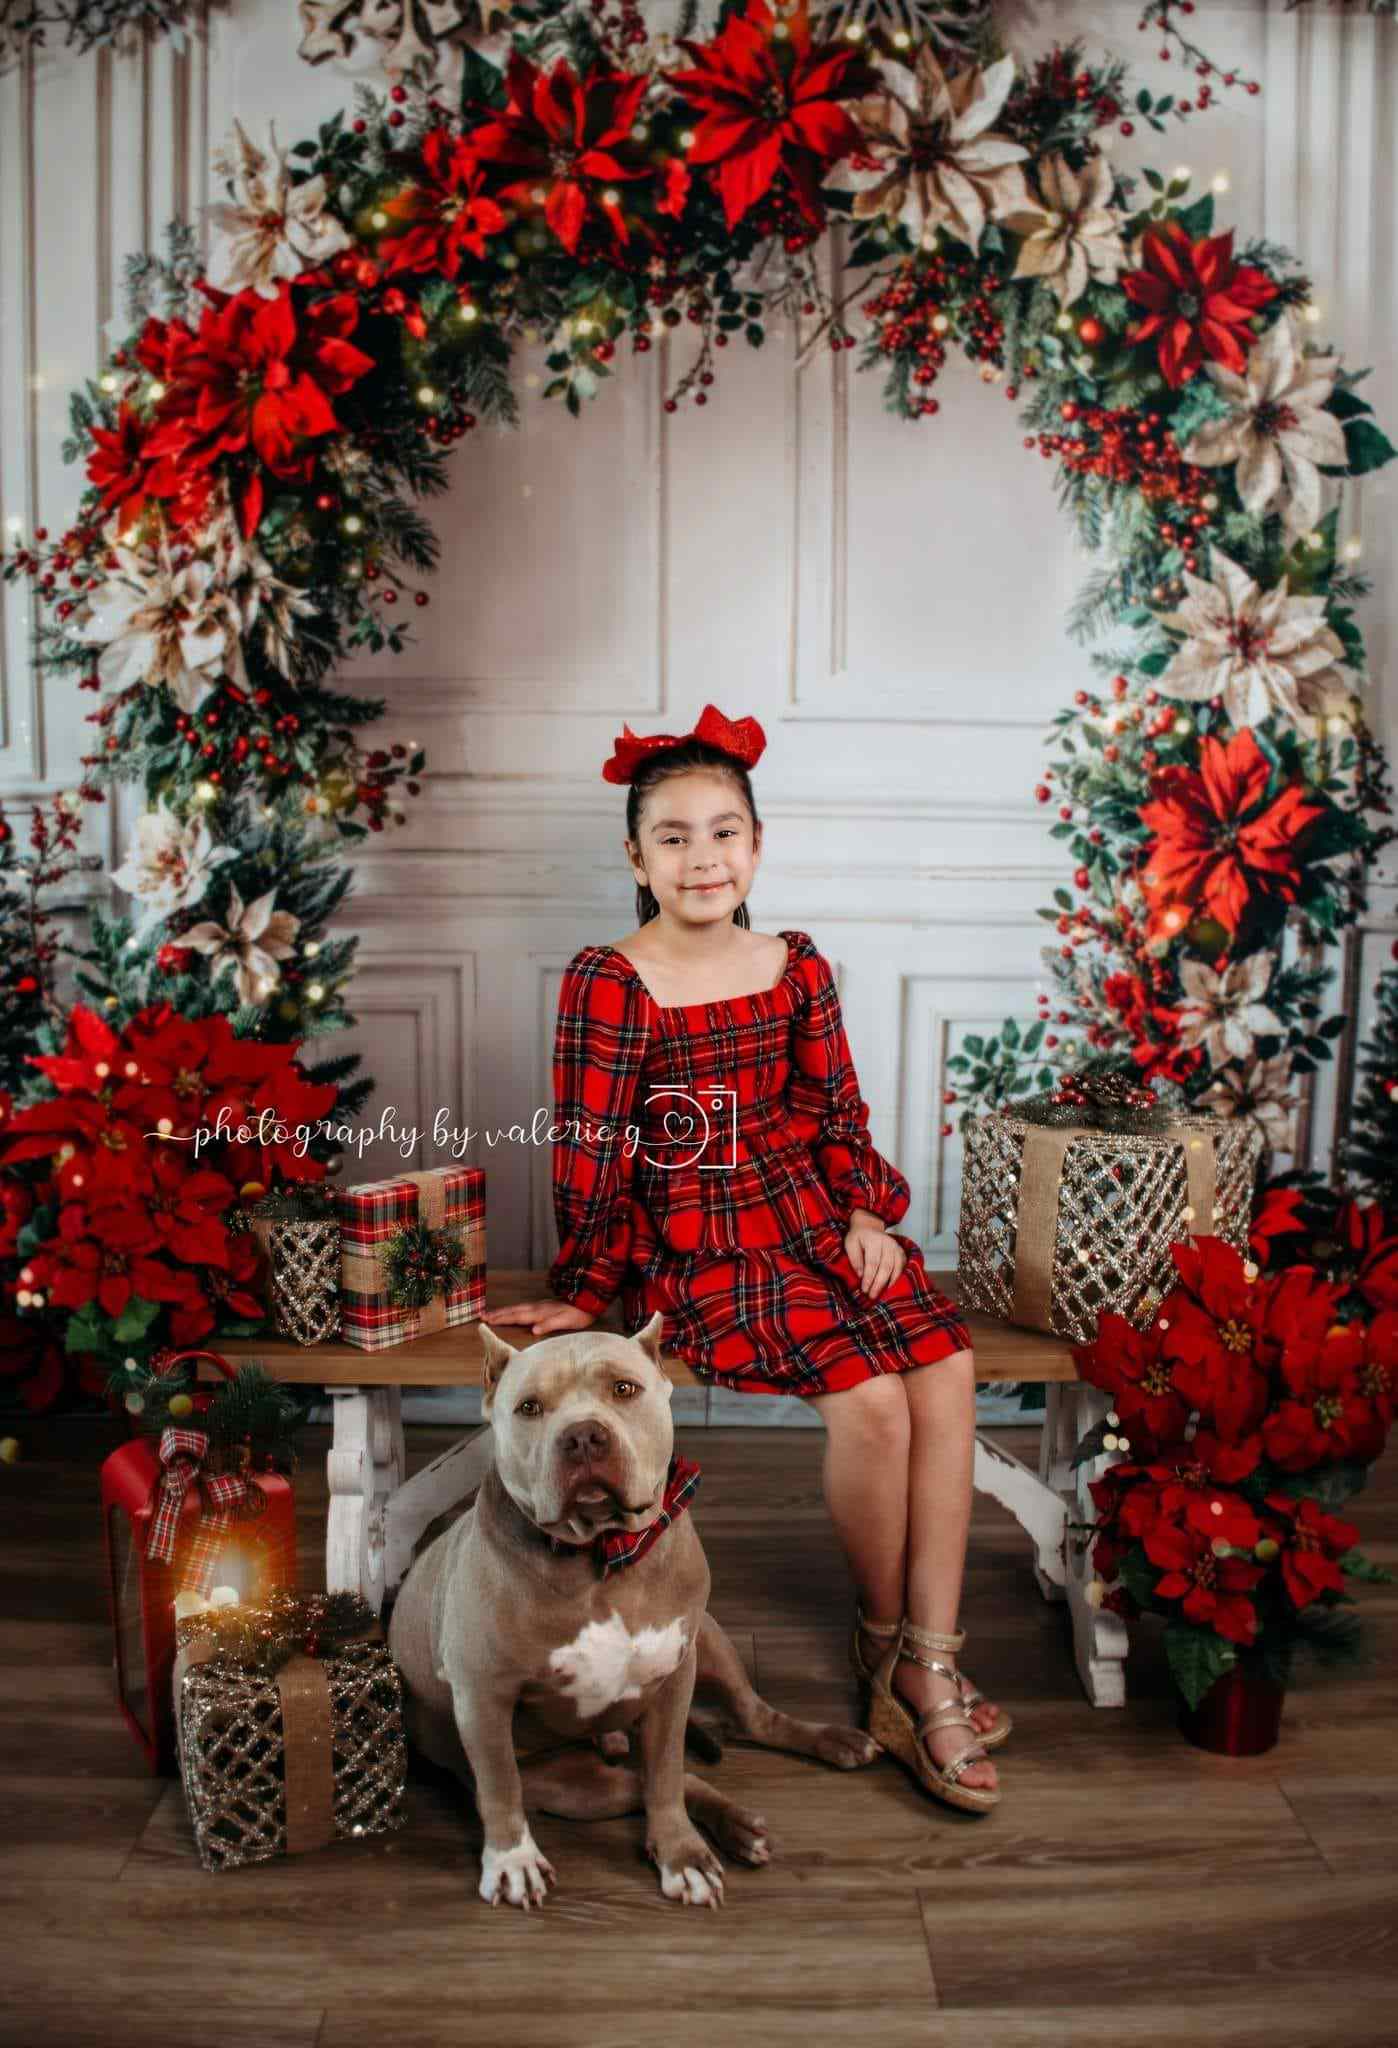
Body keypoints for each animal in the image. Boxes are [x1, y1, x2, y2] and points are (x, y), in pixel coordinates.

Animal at [388, 1302, 880, 1908]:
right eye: (529, 1407)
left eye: (624, 1389)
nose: (582, 1436)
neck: (601, 1554)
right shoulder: (483, 1697)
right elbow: (501, 1787)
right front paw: (512, 1862)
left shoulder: (673, 1678)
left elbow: (666, 1773)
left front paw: (681, 1854)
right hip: (573, 1785)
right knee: (646, 1782)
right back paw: (734, 1824)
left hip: (709, 1637)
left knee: (747, 1720)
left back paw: (820, 1751)